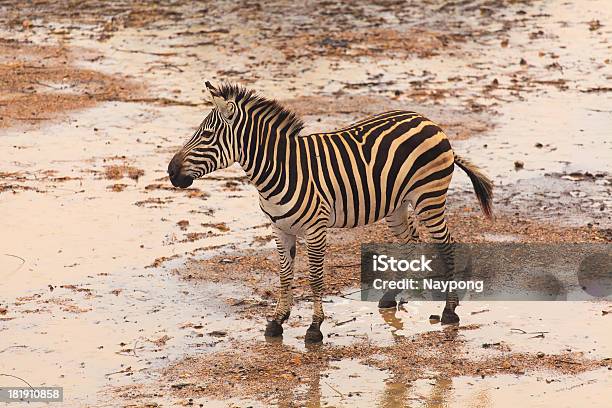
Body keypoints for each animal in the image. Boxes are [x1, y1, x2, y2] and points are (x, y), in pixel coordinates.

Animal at [167, 81, 492, 342]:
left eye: (207, 135)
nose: (170, 172)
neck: (280, 169)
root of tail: (429, 120)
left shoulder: (315, 229)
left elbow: (314, 277)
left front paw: (314, 328)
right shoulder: (279, 228)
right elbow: (284, 275)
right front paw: (277, 321)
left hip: (429, 197)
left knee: (446, 244)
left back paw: (449, 310)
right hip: (396, 205)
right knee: (410, 241)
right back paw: (393, 296)